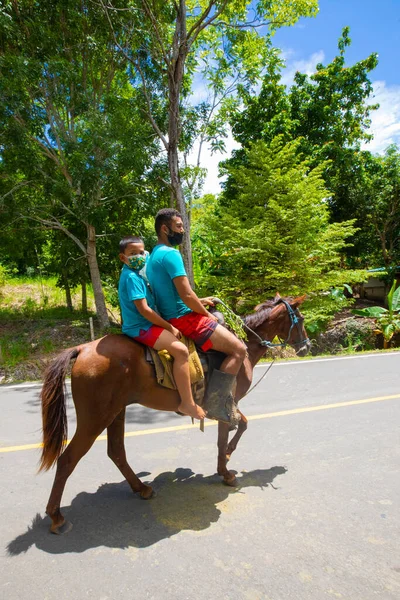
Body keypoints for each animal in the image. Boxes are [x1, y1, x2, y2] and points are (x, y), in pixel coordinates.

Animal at [39, 292, 310, 532]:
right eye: (301, 319)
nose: (307, 346)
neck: (244, 346)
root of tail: (83, 349)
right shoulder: (226, 402)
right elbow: (231, 432)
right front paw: (226, 470)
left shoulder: (227, 405)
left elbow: (238, 427)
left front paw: (227, 461)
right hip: (95, 418)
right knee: (67, 459)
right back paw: (56, 517)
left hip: (116, 412)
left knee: (116, 452)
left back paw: (142, 488)